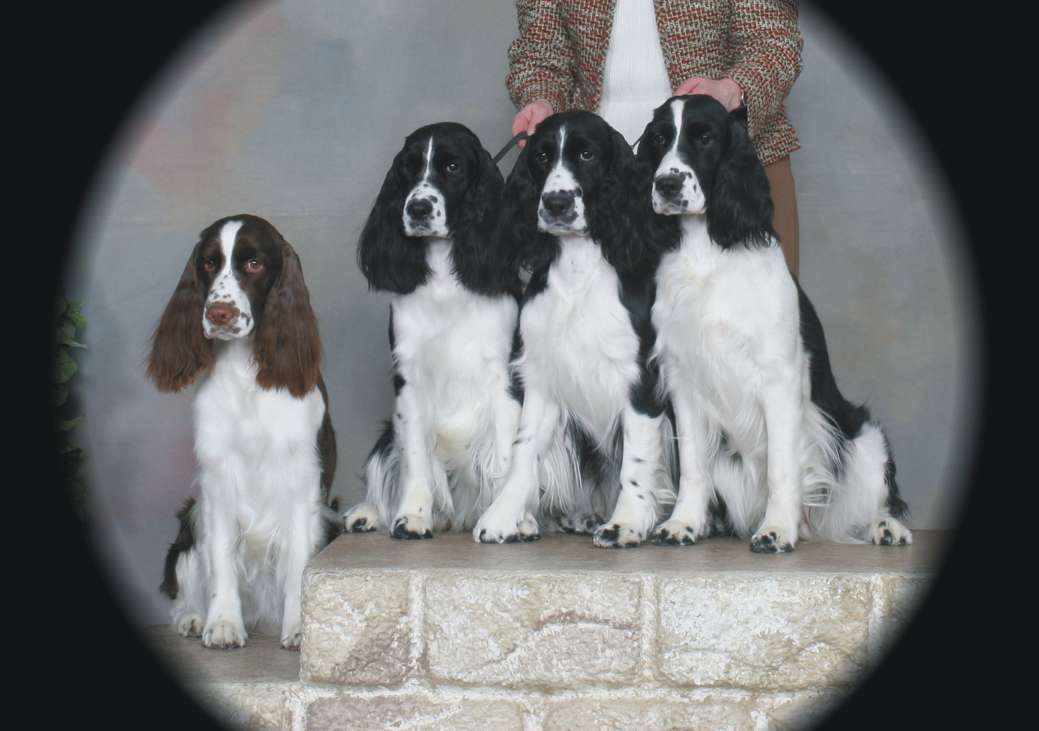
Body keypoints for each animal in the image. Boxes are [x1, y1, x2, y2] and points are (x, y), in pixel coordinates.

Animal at [148, 214, 339, 649]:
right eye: (208, 263)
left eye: (253, 264)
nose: (219, 313)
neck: (247, 372)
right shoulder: (217, 479)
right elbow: (220, 556)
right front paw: (222, 624)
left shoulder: (302, 479)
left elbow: (299, 560)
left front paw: (300, 628)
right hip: (190, 519)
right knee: (182, 590)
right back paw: (193, 618)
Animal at [341, 122, 522, 538]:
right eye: (407, 168)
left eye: (453, 166)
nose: (418, 208)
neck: (444, 276)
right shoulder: (409, 378)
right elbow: (415, 458)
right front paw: (413, 516)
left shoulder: (503, 375)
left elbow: (505, 458)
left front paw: (508, 519)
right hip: (385, 434)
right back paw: (367, 513)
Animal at [473, 111, 675, 547]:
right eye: (542, 156)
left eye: (586, 154)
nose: (556, 203)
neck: (579, 268)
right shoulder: (542, 375)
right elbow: (523, 449)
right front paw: (502, 516)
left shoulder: (640, 378)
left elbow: (636, 458)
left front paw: (626, 522)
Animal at [637, 95, 911, 552]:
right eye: (658, 139)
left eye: (705, 138)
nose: (666, 185)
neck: (707, 253)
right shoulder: (684, 380)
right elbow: (693, 465)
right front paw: (683, 523)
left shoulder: (778, 378)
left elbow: (782, 467)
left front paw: (777, 530)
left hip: (863, 437)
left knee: (873, 498)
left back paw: (885, 527)